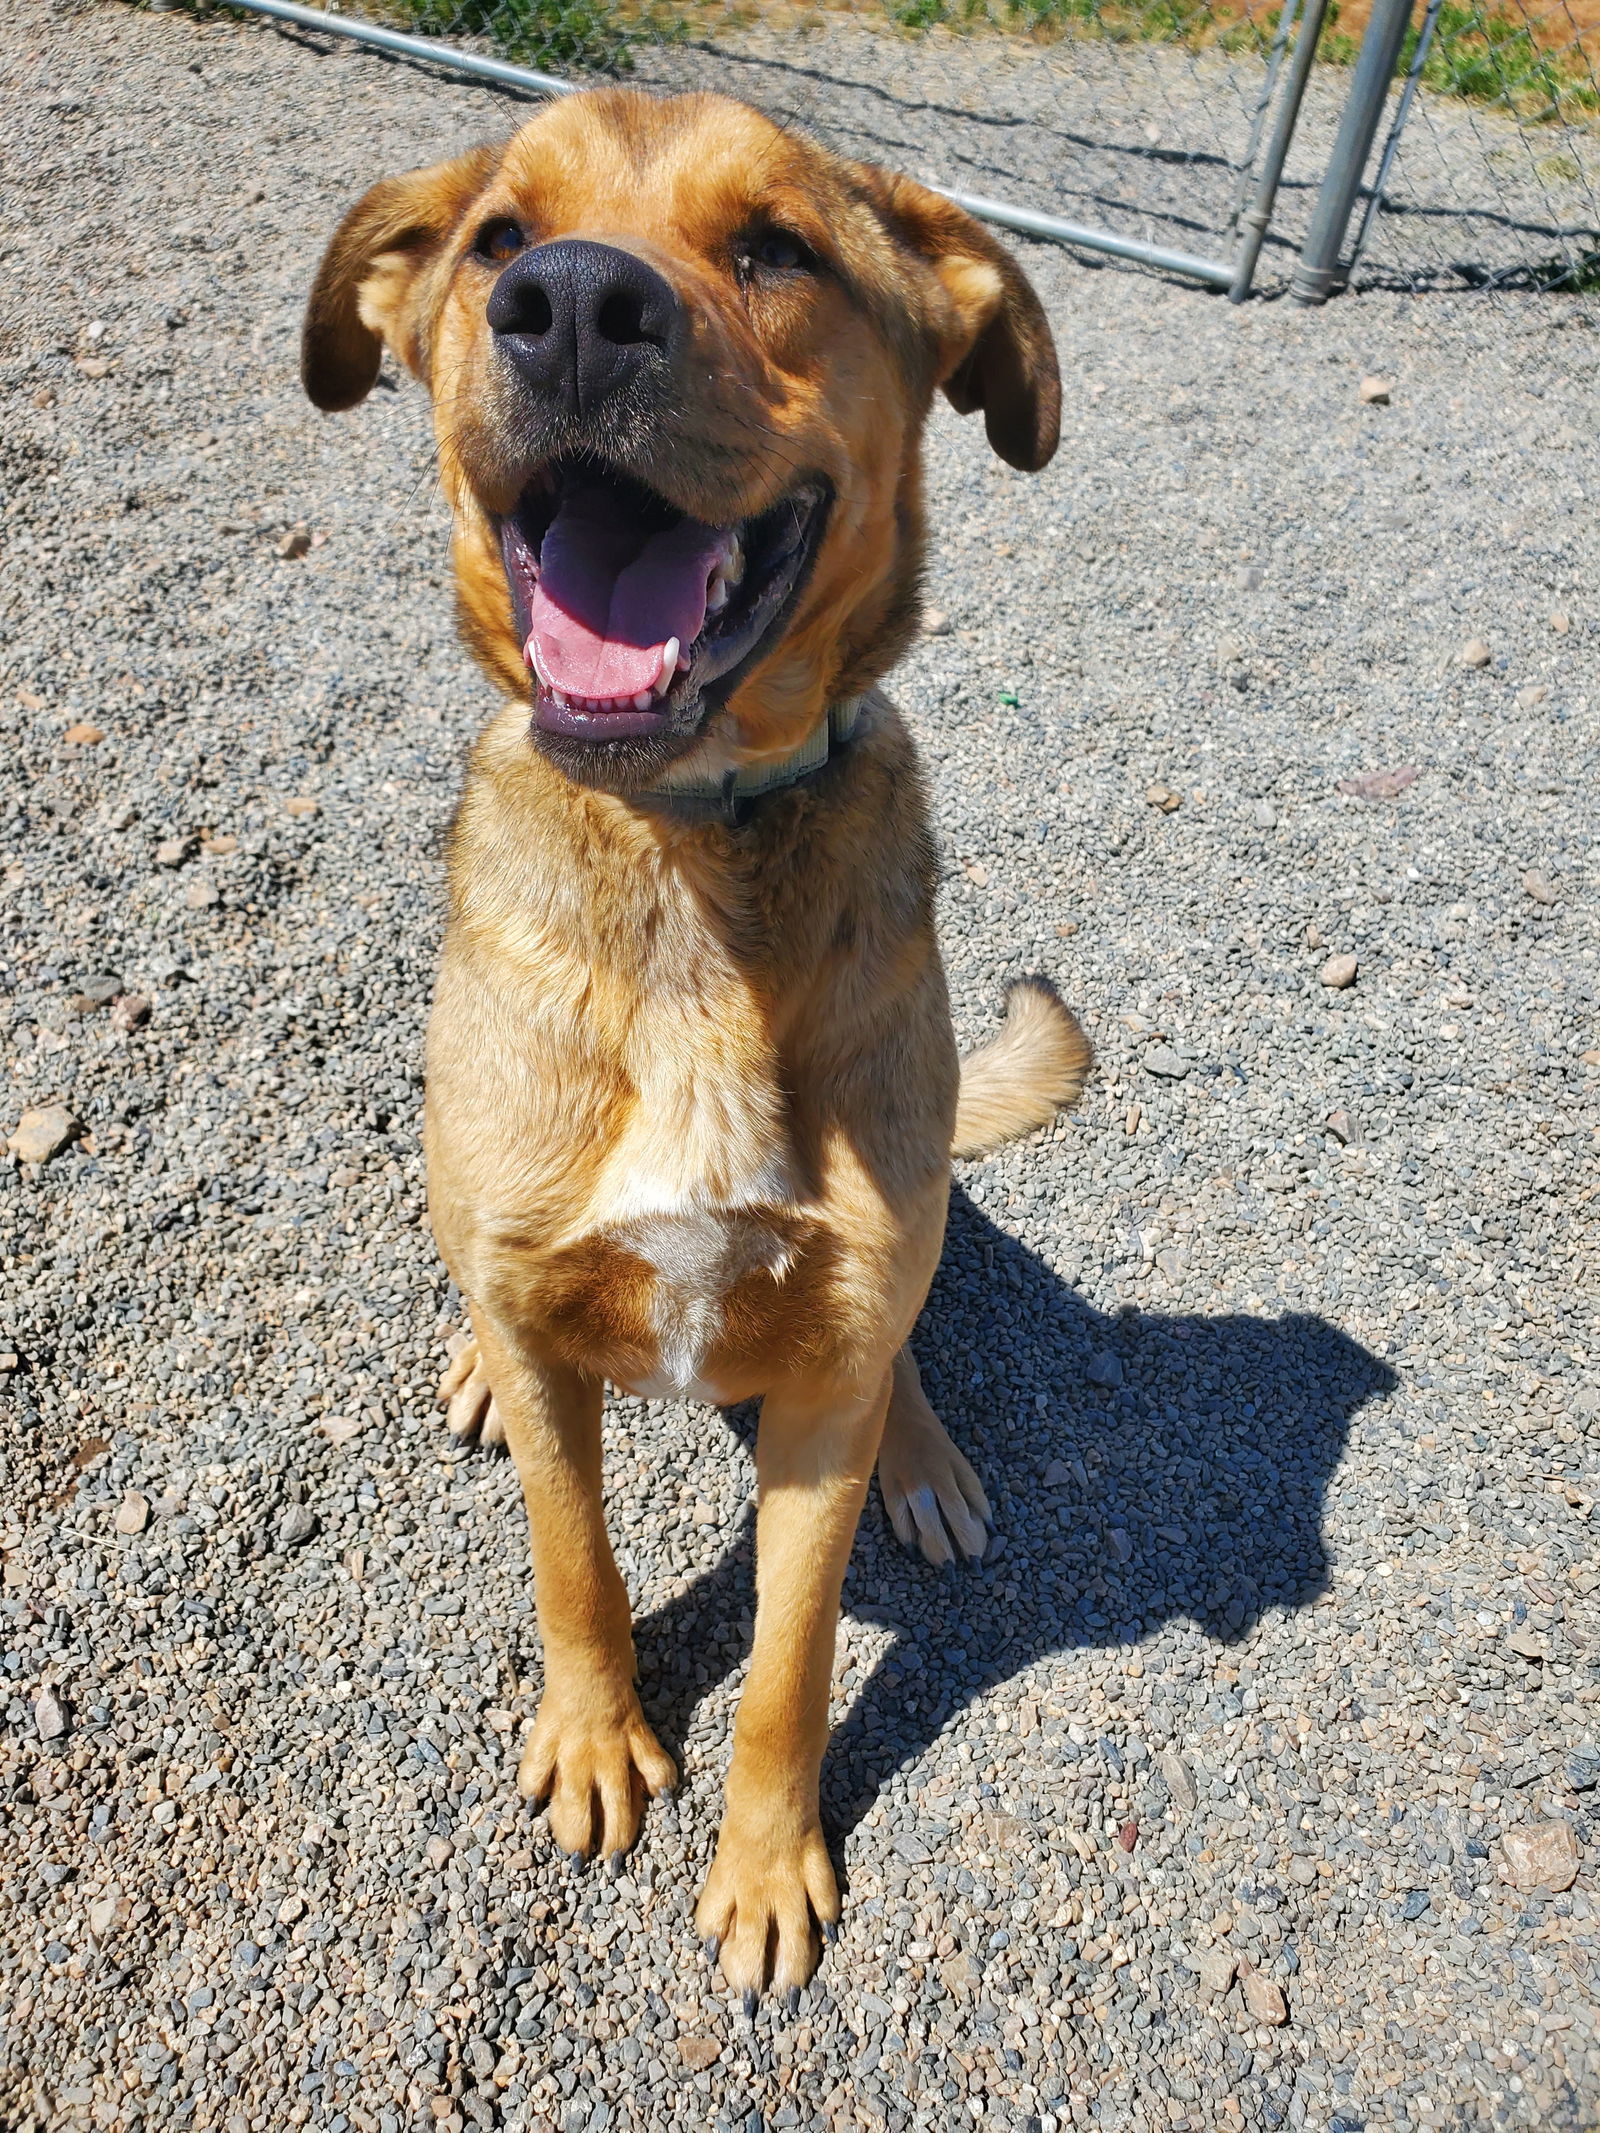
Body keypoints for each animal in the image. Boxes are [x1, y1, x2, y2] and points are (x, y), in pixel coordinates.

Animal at [302, 83, 1092, 2005]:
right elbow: (575, 1561)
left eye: (774, 249)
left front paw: (765, 1863)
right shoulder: (546, 1319)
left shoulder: (823, 1378)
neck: (684, 853)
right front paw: (598, 1738)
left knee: (906, 1339)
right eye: (500, 238)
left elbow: (795, 1661)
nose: (576, 309)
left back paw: (926, 1456)